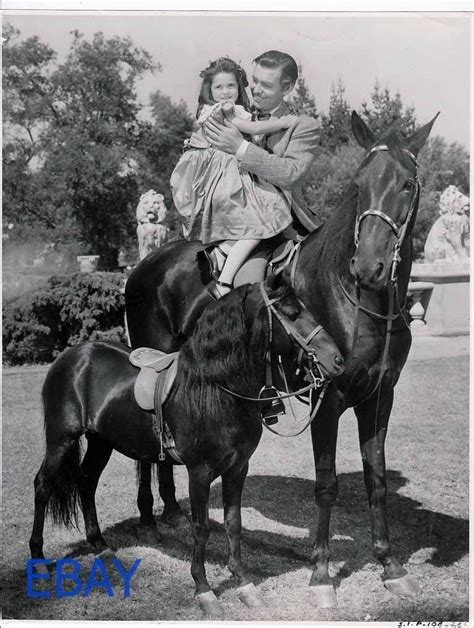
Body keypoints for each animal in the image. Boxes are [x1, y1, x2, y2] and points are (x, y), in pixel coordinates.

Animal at [30, 276, 344, 620]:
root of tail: (72, 357)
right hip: (61, 439)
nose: (337, 360)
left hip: (101, 441)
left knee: (87, 482)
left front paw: (244, 584)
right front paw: (204, 591)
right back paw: (38, 559)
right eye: (292, 312)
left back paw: (100, 545)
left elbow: (234, 524)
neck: (215, 389)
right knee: (43, 486)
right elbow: (201, 528)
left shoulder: (237, 469)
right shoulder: (199, 473)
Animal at [124, 110, 438, 604]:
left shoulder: (379, 398)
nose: (368, 266)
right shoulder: (327, 400)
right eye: (358, 184)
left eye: (407, 183)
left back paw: (172, 510)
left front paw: (389, 564)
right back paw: (149, 515)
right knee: (145, 448)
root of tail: (144, 267)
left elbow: (377, 478)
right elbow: (326, 485)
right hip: (151, 361)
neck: (358, 301)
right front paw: (322, 574)